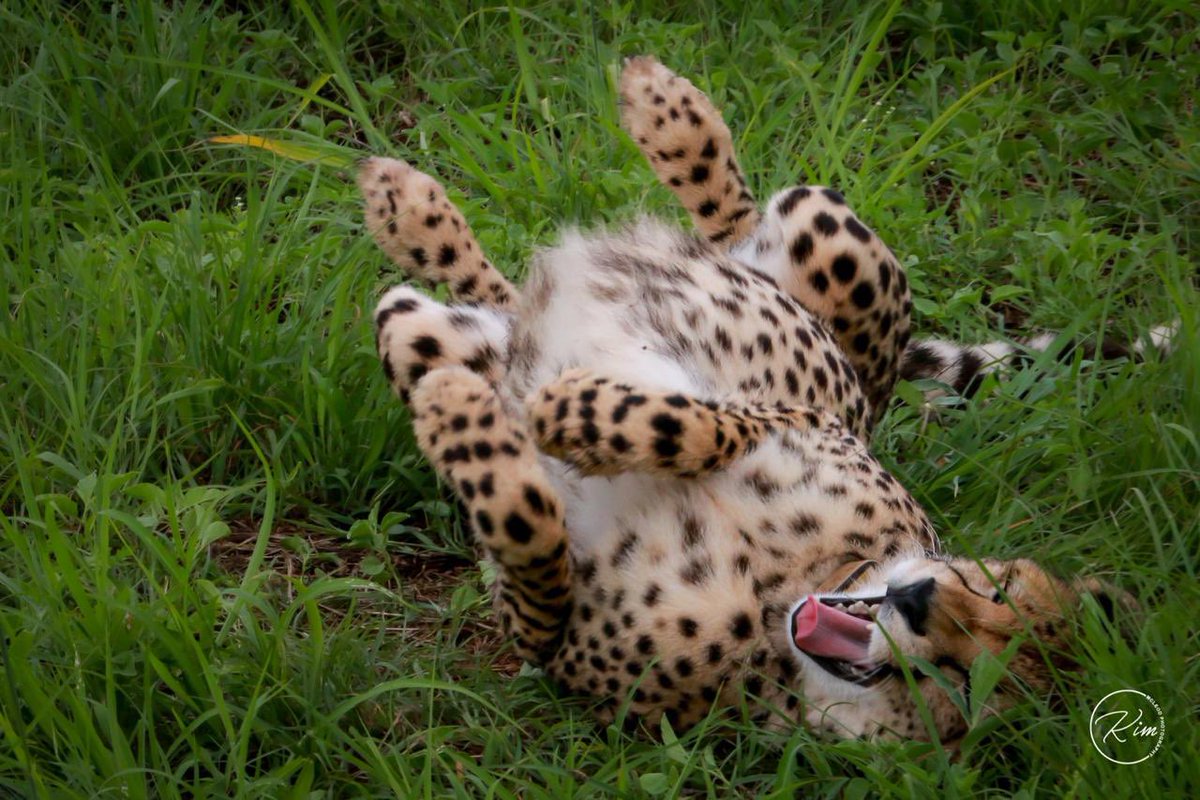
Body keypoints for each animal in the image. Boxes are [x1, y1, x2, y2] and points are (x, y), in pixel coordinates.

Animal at [359, 56, 1135, 743]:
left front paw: (476, 419)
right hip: (827, 234)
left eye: (963, 681)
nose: (916, 601)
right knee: (727, 227)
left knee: (483, 313)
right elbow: (688, 424)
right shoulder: (800, 418)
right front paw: (574, 413)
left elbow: (529, 532)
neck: (786, 593)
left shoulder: (549, 643)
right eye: (989, 588)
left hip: (428, 329)